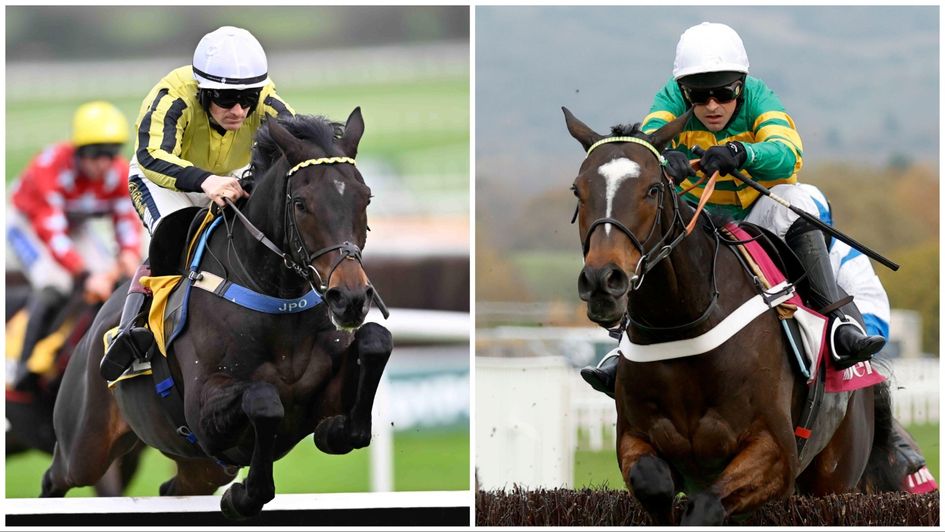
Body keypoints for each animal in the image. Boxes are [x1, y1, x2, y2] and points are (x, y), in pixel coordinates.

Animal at [41, 109, 390, 520]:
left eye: (365, 198)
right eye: (302, 203)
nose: (349, 297)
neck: (276, 303)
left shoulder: (320, 399)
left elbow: (376, 341)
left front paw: (336, 431)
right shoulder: (204, 413)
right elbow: (263, 400)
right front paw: (244, 496)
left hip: (202, 467)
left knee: (171, 488)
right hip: (85, 446)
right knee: (55, 477)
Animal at [564, 107, 896, 524]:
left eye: (653, 189)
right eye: (578, 190)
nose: (602, 282)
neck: (681, 326)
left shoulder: (776, 453)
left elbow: (705, 506)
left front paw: (726, 155)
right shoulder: (633, 438)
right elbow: (653, 483)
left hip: (835, 476)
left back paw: (849, 337)